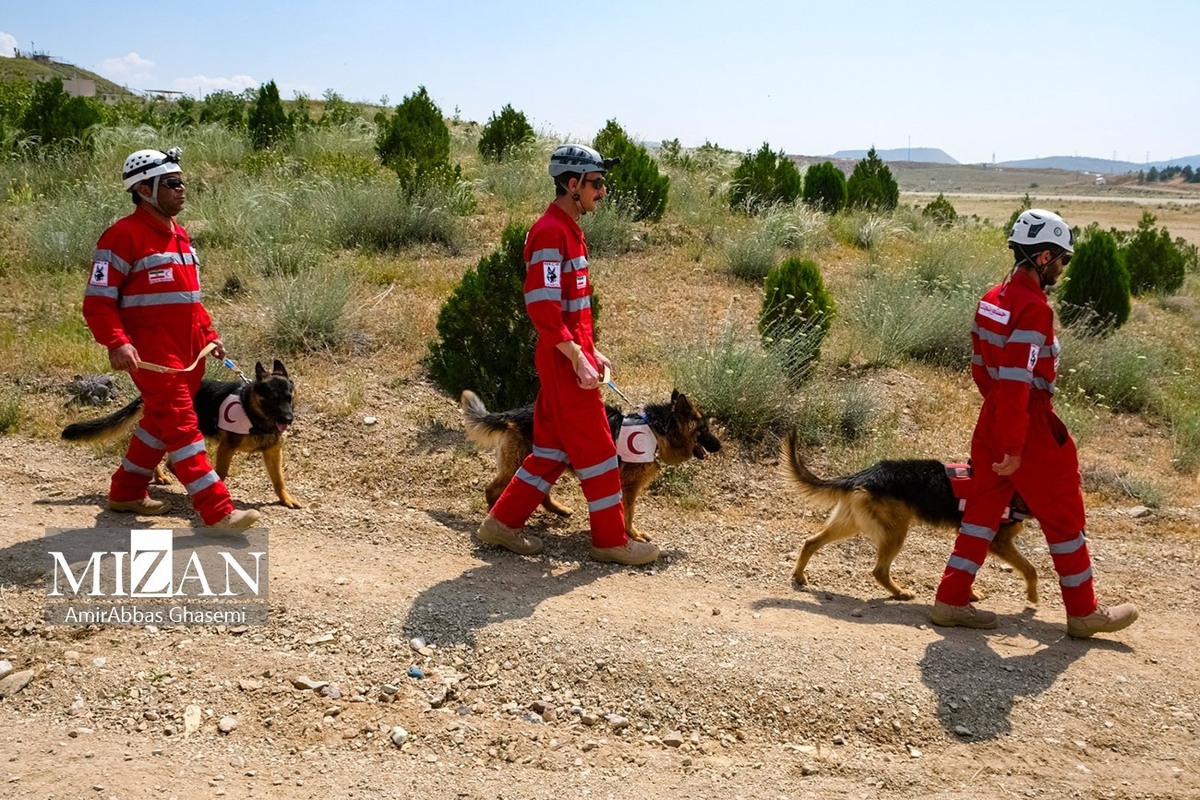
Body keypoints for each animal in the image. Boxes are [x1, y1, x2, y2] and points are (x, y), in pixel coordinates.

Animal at [64, 362, 300, 506]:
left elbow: (279, 480)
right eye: (272, 398)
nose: (288, 419)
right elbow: (221, 474)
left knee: (165, 458)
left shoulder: (273, 453)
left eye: (288, 397)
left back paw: (163, 476)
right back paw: (165, 475)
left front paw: (285, 499)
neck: (252, 413)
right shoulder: (227, 449)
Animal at [460, 388, 720, 542]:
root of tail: (516, 412)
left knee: (539, 491)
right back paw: (495, 516)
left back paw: (558, 510)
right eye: (705, 429)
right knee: (492, 489)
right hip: (522, 462)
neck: (659, 429)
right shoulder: (629, 486)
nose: (719, 446)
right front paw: (631, 534)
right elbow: (628, 513)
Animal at [782, 431, 1036, 599]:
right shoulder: (997, 543)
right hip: (895, 532)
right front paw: (1033, 597)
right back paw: (901, 592)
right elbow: (1029, 568)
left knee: (810, 542)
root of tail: (861, 475)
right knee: (879, 571)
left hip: (850, 524)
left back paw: (799, 575)